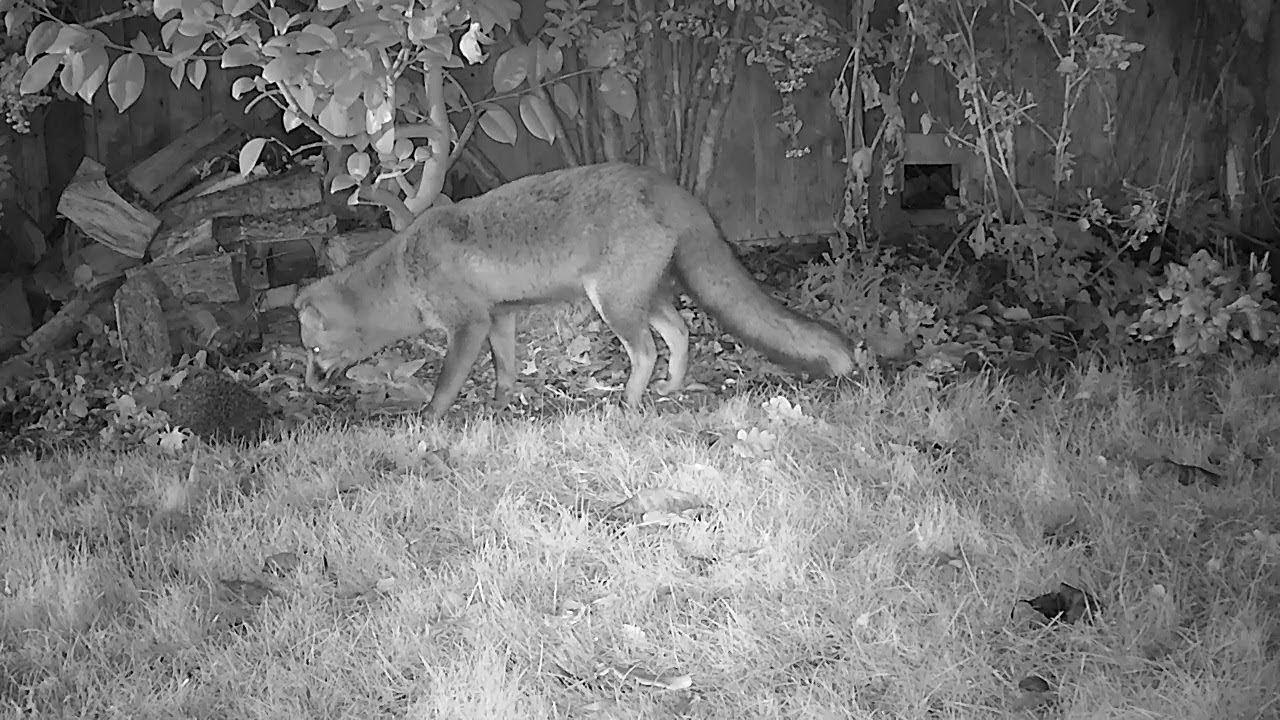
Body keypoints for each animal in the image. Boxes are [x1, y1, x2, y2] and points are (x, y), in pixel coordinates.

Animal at [293, 161, 856, 417]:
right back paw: (671, 389)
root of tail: (667, 186)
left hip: (613, 304)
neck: (405, 272)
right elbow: (505, 370)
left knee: (647, 351)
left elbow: (445, 384)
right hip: (643, 298)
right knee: (679, 334)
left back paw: (628, 401)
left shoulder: (468, 324)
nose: (310, 386)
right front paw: (502, 406)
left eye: (316, 353)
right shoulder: (500, 317)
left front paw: (429, 420)